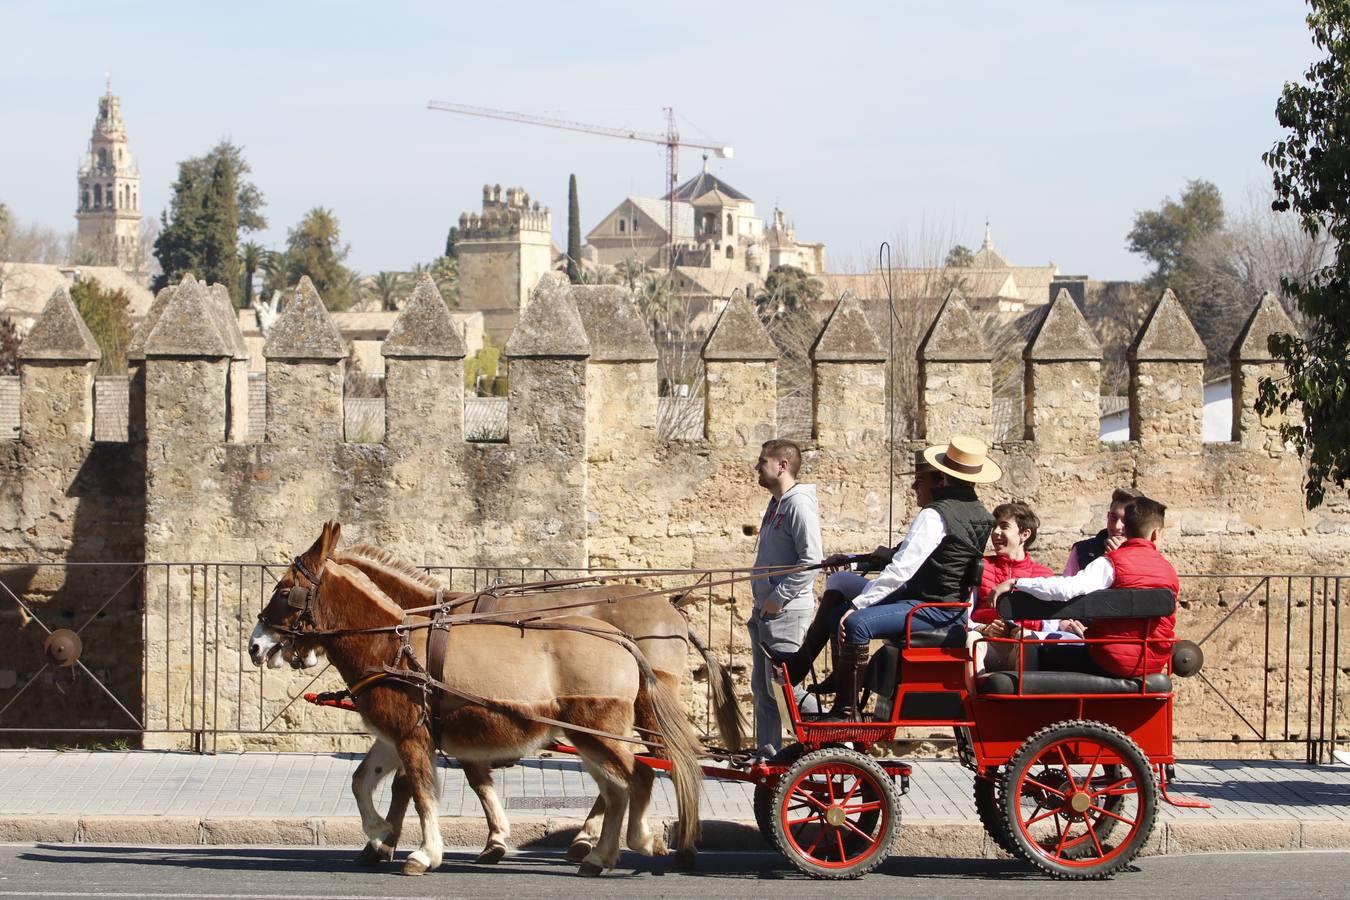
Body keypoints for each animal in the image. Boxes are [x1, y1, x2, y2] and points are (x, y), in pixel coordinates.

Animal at [249, 523, 707, 874]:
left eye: (284, 590)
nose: (256, 646)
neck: (395, 640)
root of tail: (625, 638)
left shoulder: (415, 735)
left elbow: (417, 789)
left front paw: (419, 851)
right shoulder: (398, 735)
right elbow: (365, 780)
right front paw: (382, 836)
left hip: (604, 729)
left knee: (650, 772)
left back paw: (659, 844)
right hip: (591, 734)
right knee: (619, 787)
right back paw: (600, 853)